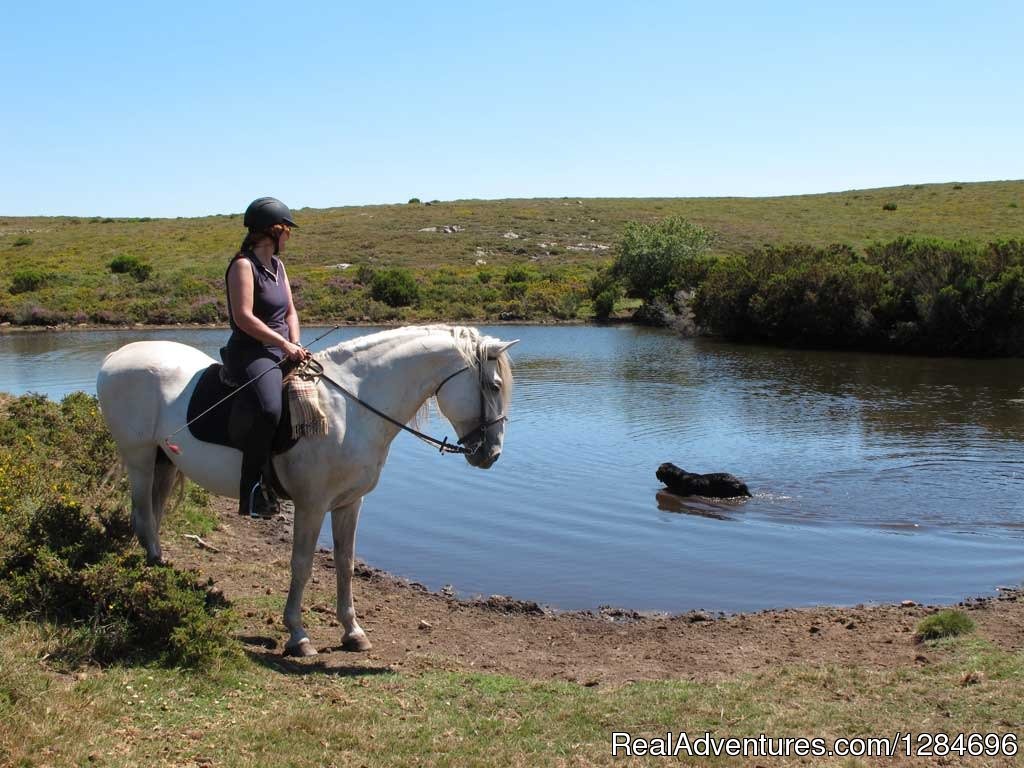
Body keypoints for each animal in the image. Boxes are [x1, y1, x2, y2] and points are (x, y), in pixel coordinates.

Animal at [95, 323, 516, 655]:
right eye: (494, 386)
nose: (492, 454)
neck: (349, 406)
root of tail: (116, 356)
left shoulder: (349, 503)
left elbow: (345, 564)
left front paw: (353, 632)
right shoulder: (311, 505)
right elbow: (302, 564)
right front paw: (297, 634)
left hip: (164, 461)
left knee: (154, 514)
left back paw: (160, 568)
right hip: (138, 458)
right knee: (142, 516)